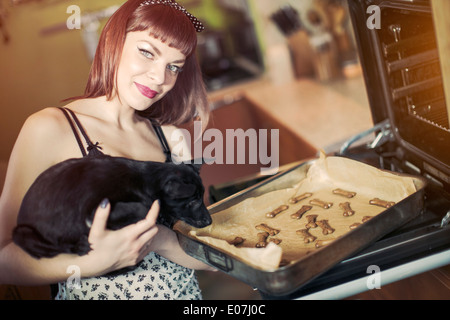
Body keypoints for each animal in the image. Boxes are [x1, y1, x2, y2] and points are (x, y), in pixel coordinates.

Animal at [12, 154, 213, 258]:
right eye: (193, 201)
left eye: (202, 197)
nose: (210, 221)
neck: (144, 180)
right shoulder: (93, 209)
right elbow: (144, 207)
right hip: (22, 233)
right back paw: (79, 246)